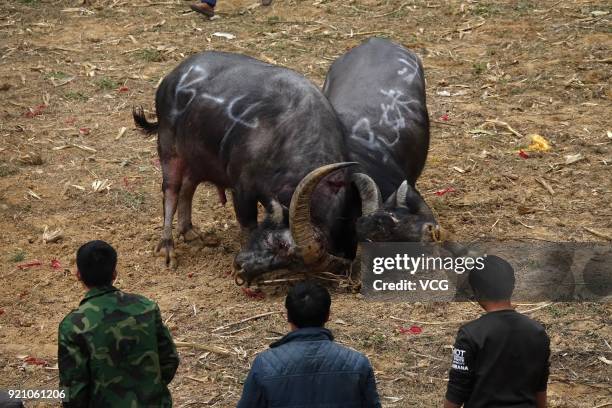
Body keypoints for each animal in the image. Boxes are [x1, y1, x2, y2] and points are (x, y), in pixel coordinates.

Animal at [133, 51, 354, 284]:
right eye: (280, 244)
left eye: (291, 263)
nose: (242, 268)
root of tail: (172, 77)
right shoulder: (242, 191)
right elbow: (248, 225)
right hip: (168, 146)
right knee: (171, 190)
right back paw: (167, 247)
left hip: (197, 156)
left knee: (188, 187)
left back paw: (190, 233)